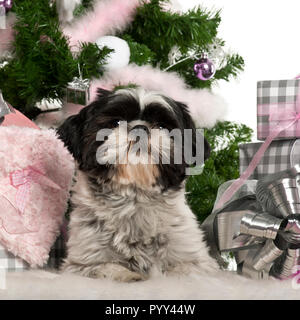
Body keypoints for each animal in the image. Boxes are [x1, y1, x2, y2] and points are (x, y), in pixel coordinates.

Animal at [58, 87, 218, 280]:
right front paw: (129, 276)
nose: (140, 128)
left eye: (161, 126)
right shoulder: (81, 265)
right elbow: (108, 269)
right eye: (116, 122)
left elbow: (182, 272)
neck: (135, 202)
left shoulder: (197, 261)